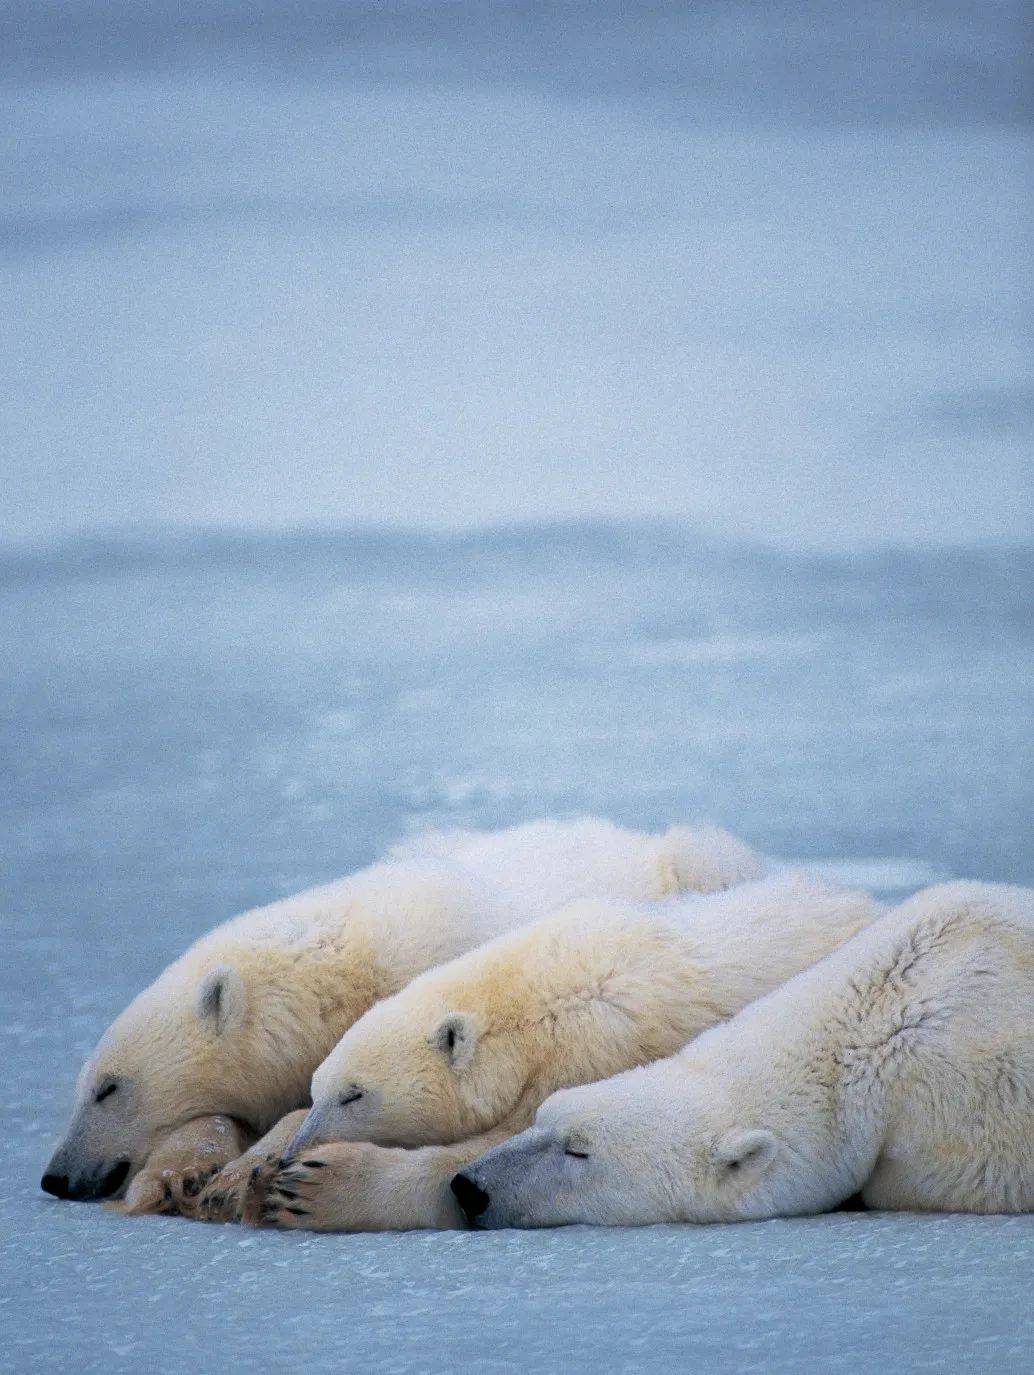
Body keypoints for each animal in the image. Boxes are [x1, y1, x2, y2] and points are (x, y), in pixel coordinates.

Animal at [42, 814, 759, 1204]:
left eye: (109, 1087)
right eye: (82, 1086)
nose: (55, 1176)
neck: (348, 964)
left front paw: (241, 1171)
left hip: (696, 866)